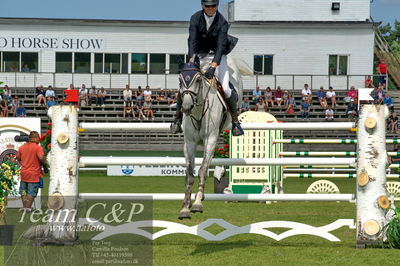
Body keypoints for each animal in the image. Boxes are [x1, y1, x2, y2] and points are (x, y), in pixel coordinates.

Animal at [177, 54, 250, 218]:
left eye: (198, 80)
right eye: (180, 80)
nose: (186, 107)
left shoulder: (210, 140)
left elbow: (203, 171)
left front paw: (197, 204)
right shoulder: (189, 142)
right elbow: (189, 174)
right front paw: (185, 207)